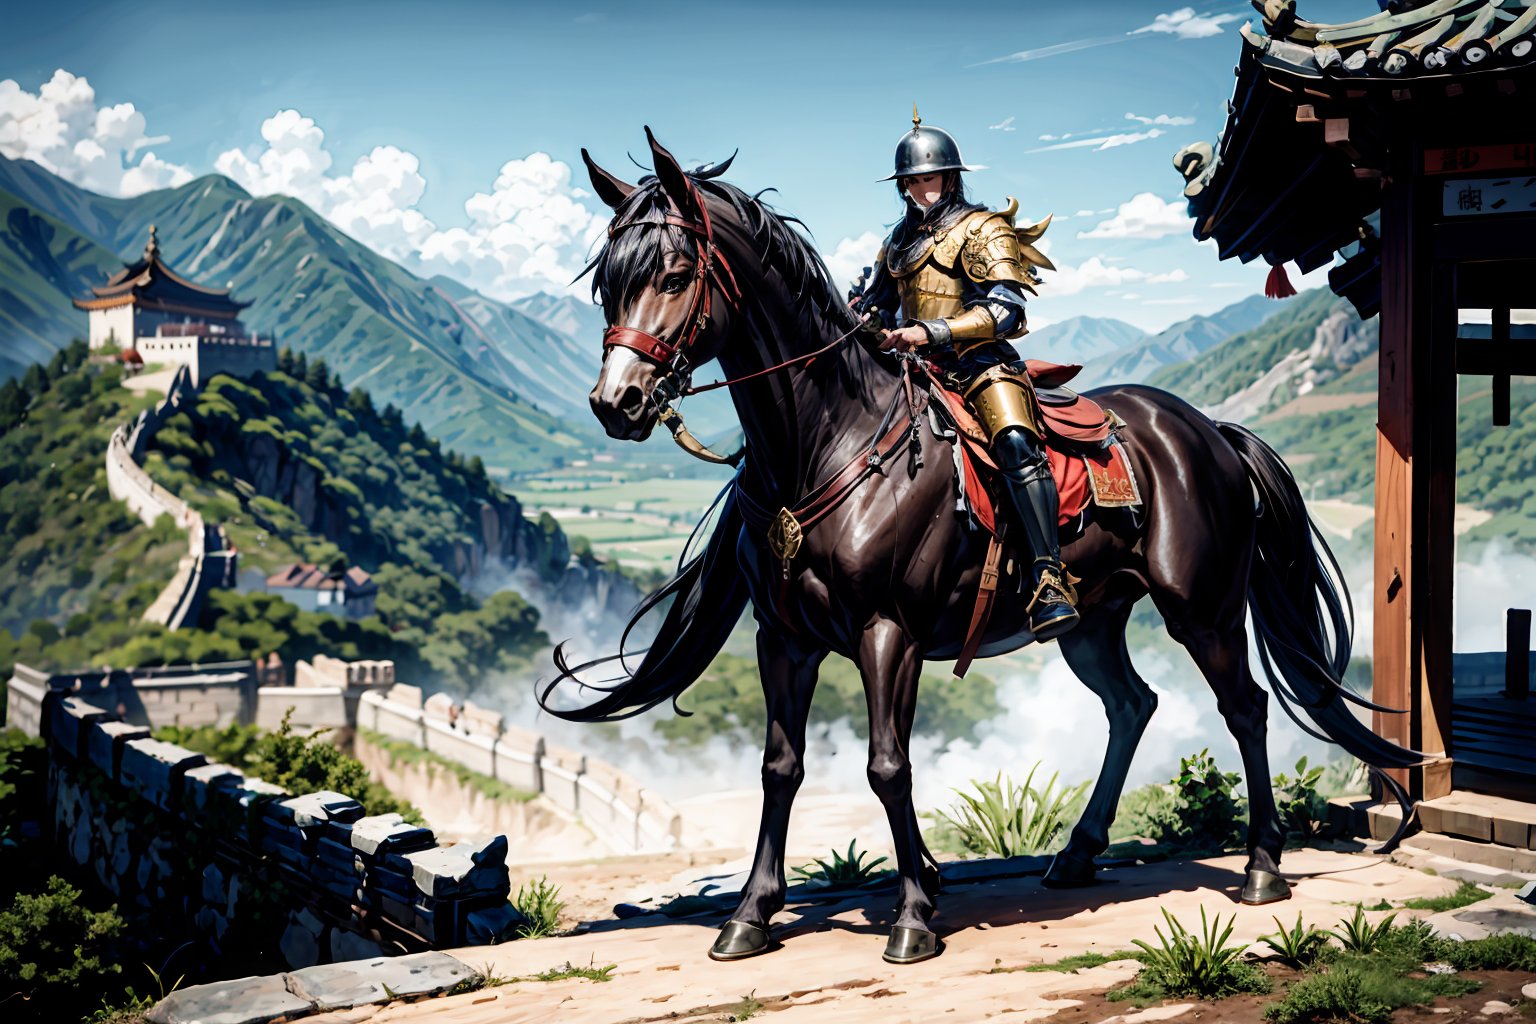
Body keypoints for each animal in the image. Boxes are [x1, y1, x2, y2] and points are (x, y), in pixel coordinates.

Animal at [537, 132, 1413, 964]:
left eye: (676, 273)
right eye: (608, 282)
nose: (617, 403)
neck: (827, 441)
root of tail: (1208, 431)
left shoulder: (887, 632)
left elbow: (887, 765)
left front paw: (912, 918)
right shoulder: (783, 639)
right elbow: (780, 768)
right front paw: (753, 913)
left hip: (1202, 610)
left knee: (1244, 709)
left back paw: (1262, 866)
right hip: (1093, 623)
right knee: (1132, 706)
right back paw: (1078, 854)